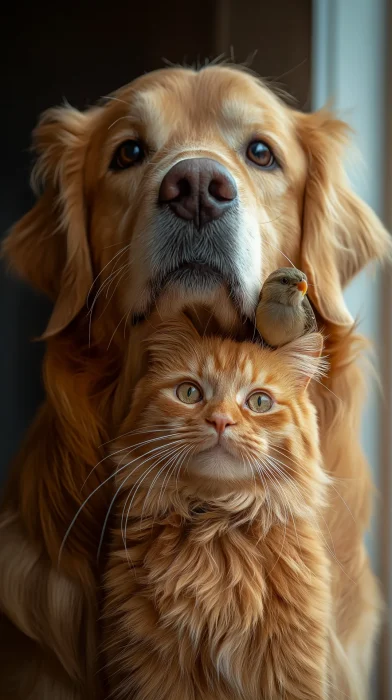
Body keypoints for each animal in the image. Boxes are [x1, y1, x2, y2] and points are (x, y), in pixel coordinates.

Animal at [102, 318, 332, 700]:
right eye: (189, 393)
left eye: (259, 401)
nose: (221, 420)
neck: (218, 522)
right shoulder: (152, 670)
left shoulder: (292, 668)